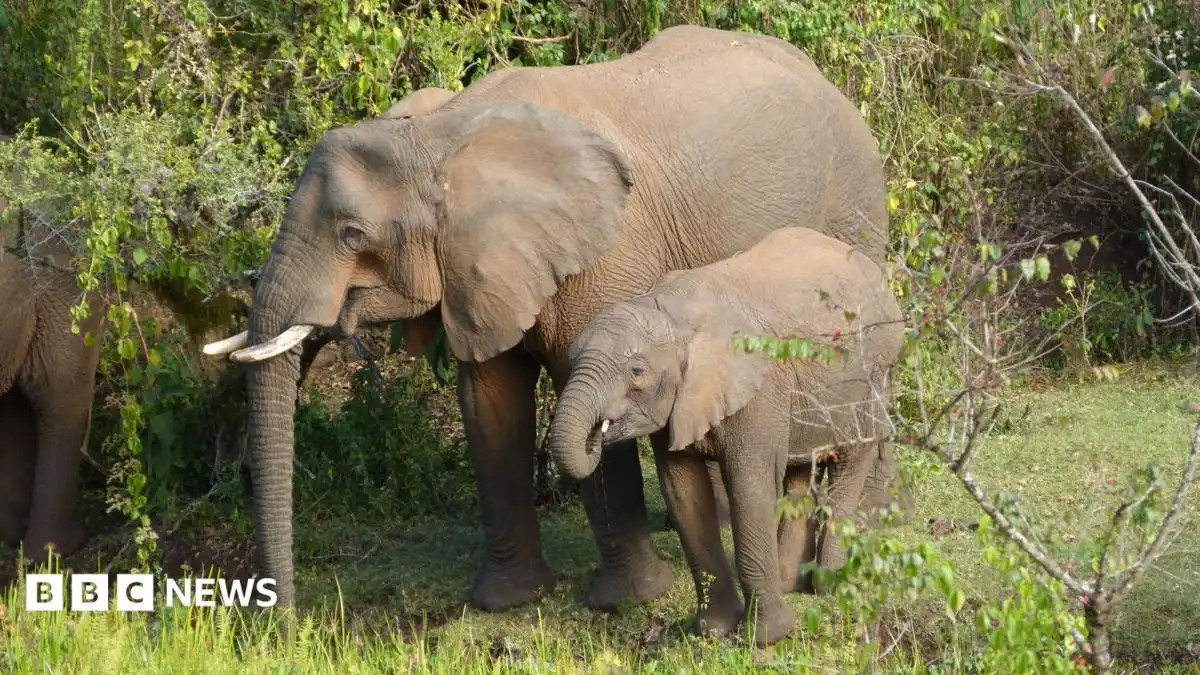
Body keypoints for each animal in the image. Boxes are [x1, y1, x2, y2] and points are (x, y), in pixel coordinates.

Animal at [201, 24, 890, 611]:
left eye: (352, 234)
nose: (282, 620)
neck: (441, 135)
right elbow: (489, 400)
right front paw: (506, 600)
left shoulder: (608, 253)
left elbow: (582, 389)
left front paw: (625, 601)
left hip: (855, 207)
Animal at [548, 227, 906, 645]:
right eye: (571, 361)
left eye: (637, 372)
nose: (596, 434)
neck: (669, 312)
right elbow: (684, 494)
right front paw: (712, 631)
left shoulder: (758, 389)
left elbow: (750, 488)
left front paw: (766, 638)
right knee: (798, 472)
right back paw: (791, 583)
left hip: (874, 371)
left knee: (850, 460)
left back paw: (829, 585)